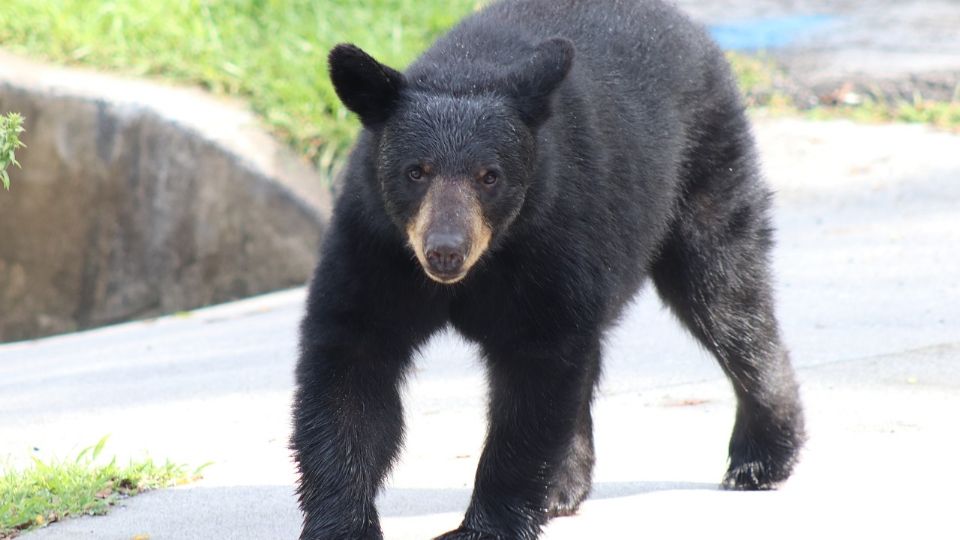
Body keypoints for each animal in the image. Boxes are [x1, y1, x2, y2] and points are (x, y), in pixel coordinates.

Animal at [292, 0, 804, 536]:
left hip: (705, 172)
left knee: (728, 298)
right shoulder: (376, 246)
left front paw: (485, 525)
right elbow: (351, 363)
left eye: (490, 176)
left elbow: (537, 375)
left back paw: (761, 456)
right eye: (416, 171)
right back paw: (563, 486)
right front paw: (341, 523)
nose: (445, 251)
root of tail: (685, 22)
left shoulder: (551, 237)